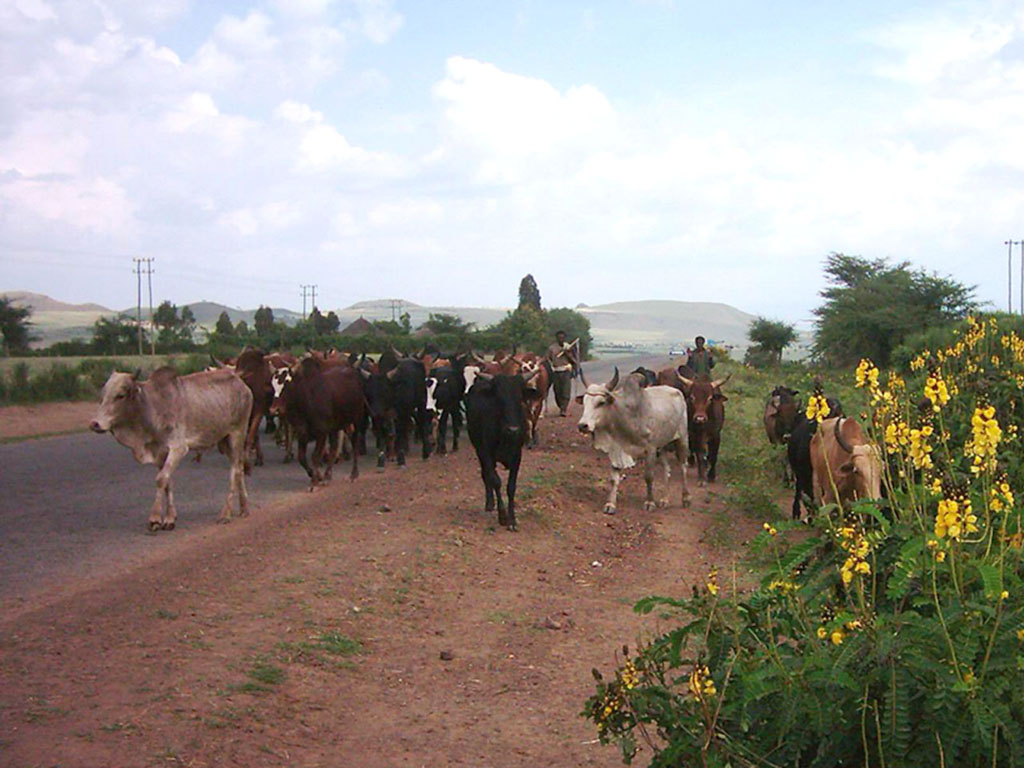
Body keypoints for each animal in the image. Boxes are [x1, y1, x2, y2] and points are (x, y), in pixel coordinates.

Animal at [91, 370, 252, 532]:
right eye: (103, 395)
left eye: (120, 395)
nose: (95, 424)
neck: (152, 408)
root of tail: (241, 382)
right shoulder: (160, 454)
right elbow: (168, 482)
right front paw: (170, 519)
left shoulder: (178, 448)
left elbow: (161, 479)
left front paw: (155, 518)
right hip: (224, 441)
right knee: (240, 469)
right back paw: (244, 508)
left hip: (236, 435)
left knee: (234, 471)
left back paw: (226, 514)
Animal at [466, 370, 544, 528]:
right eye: (499, 399)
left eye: (520, 399)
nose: (513, 429)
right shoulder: (486, 453)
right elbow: (495, 481)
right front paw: (502, 516)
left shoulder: (517, 456)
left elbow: (511, 487)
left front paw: (512, 519)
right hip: (478, 449)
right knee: (486, 475)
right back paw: (490, 503)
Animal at [573, 368, 692, 514]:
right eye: (584, 402)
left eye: (601, 402)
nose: (582, 425)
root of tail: (676, 391)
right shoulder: (617, 449)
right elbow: (613, 479)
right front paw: (610, 504)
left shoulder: (651, 450)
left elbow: (649, 476)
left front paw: (649, 502)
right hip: (662, 446)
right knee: (667, 469)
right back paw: (665, 499)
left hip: (682, 439)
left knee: (683, 467)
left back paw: (686, 498)